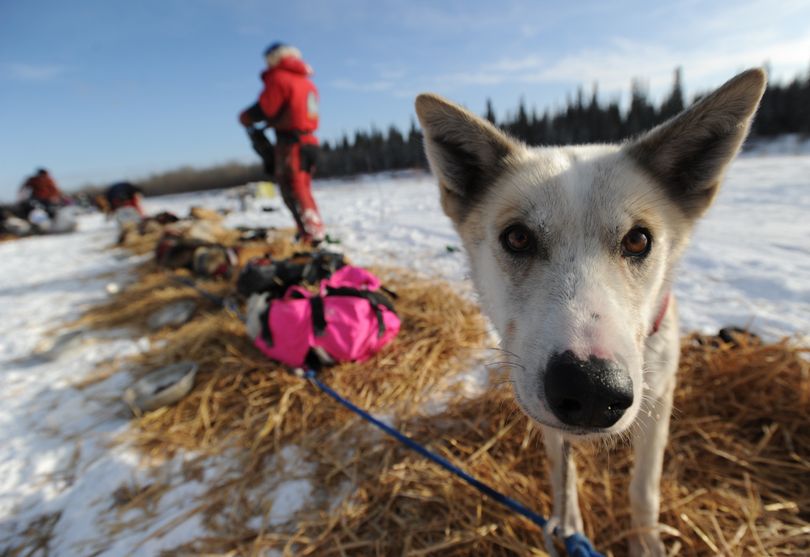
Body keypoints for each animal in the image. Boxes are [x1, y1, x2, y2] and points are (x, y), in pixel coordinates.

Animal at [416, 68, 764, 552]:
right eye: (517, 238)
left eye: (638, 240)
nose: (592, 387)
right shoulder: (543, 410)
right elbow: (563, 475)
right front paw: (570, 526)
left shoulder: (659, 401)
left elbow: (644, 489)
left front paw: (646, 543)